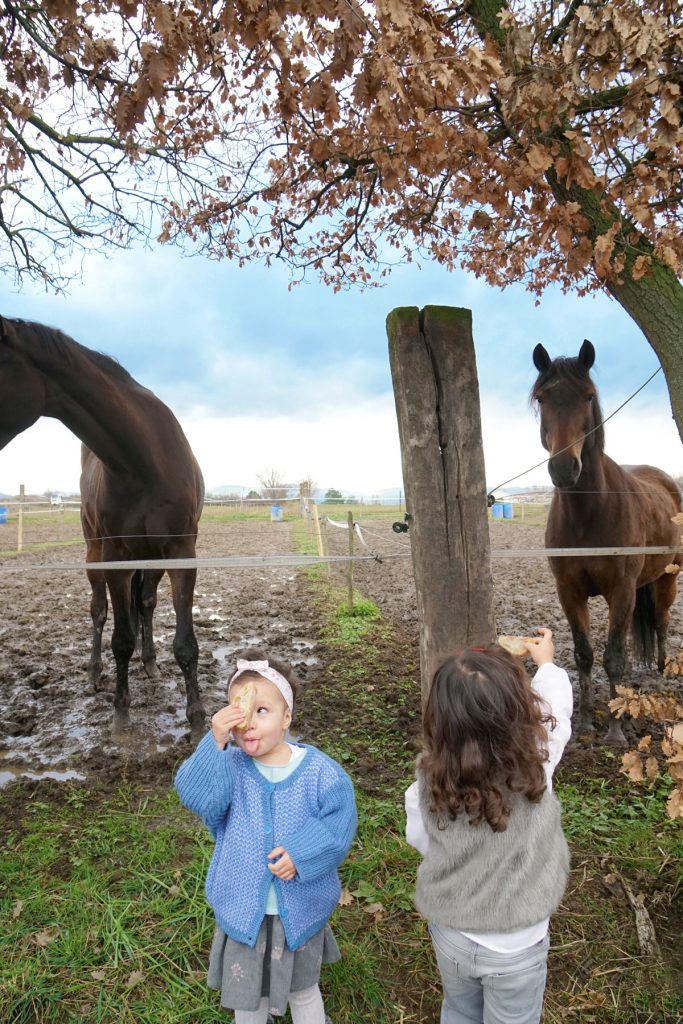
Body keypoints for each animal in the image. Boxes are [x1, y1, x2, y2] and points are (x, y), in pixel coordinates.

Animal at [0, 316, 206, 741]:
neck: (142, 460)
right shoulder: (115, 555)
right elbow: (120, 638)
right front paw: (121, 713)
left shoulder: (181, 551)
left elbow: (184, 641)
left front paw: (196, 717)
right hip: (95, 553)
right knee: (98, 610)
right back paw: (95, 673)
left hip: (151, 558)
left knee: (145, 603)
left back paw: (150, 662)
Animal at [531, 340, 682, 744]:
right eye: (542, 398)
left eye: (587, 396)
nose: (563, 468)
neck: (588, 514)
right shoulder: (569, 591)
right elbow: (585, 654)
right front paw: (584, 720)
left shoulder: (621, 589)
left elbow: (613, 656)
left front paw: (615, 729)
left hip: (667, 578)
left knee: (660, 621)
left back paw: (661, 666)